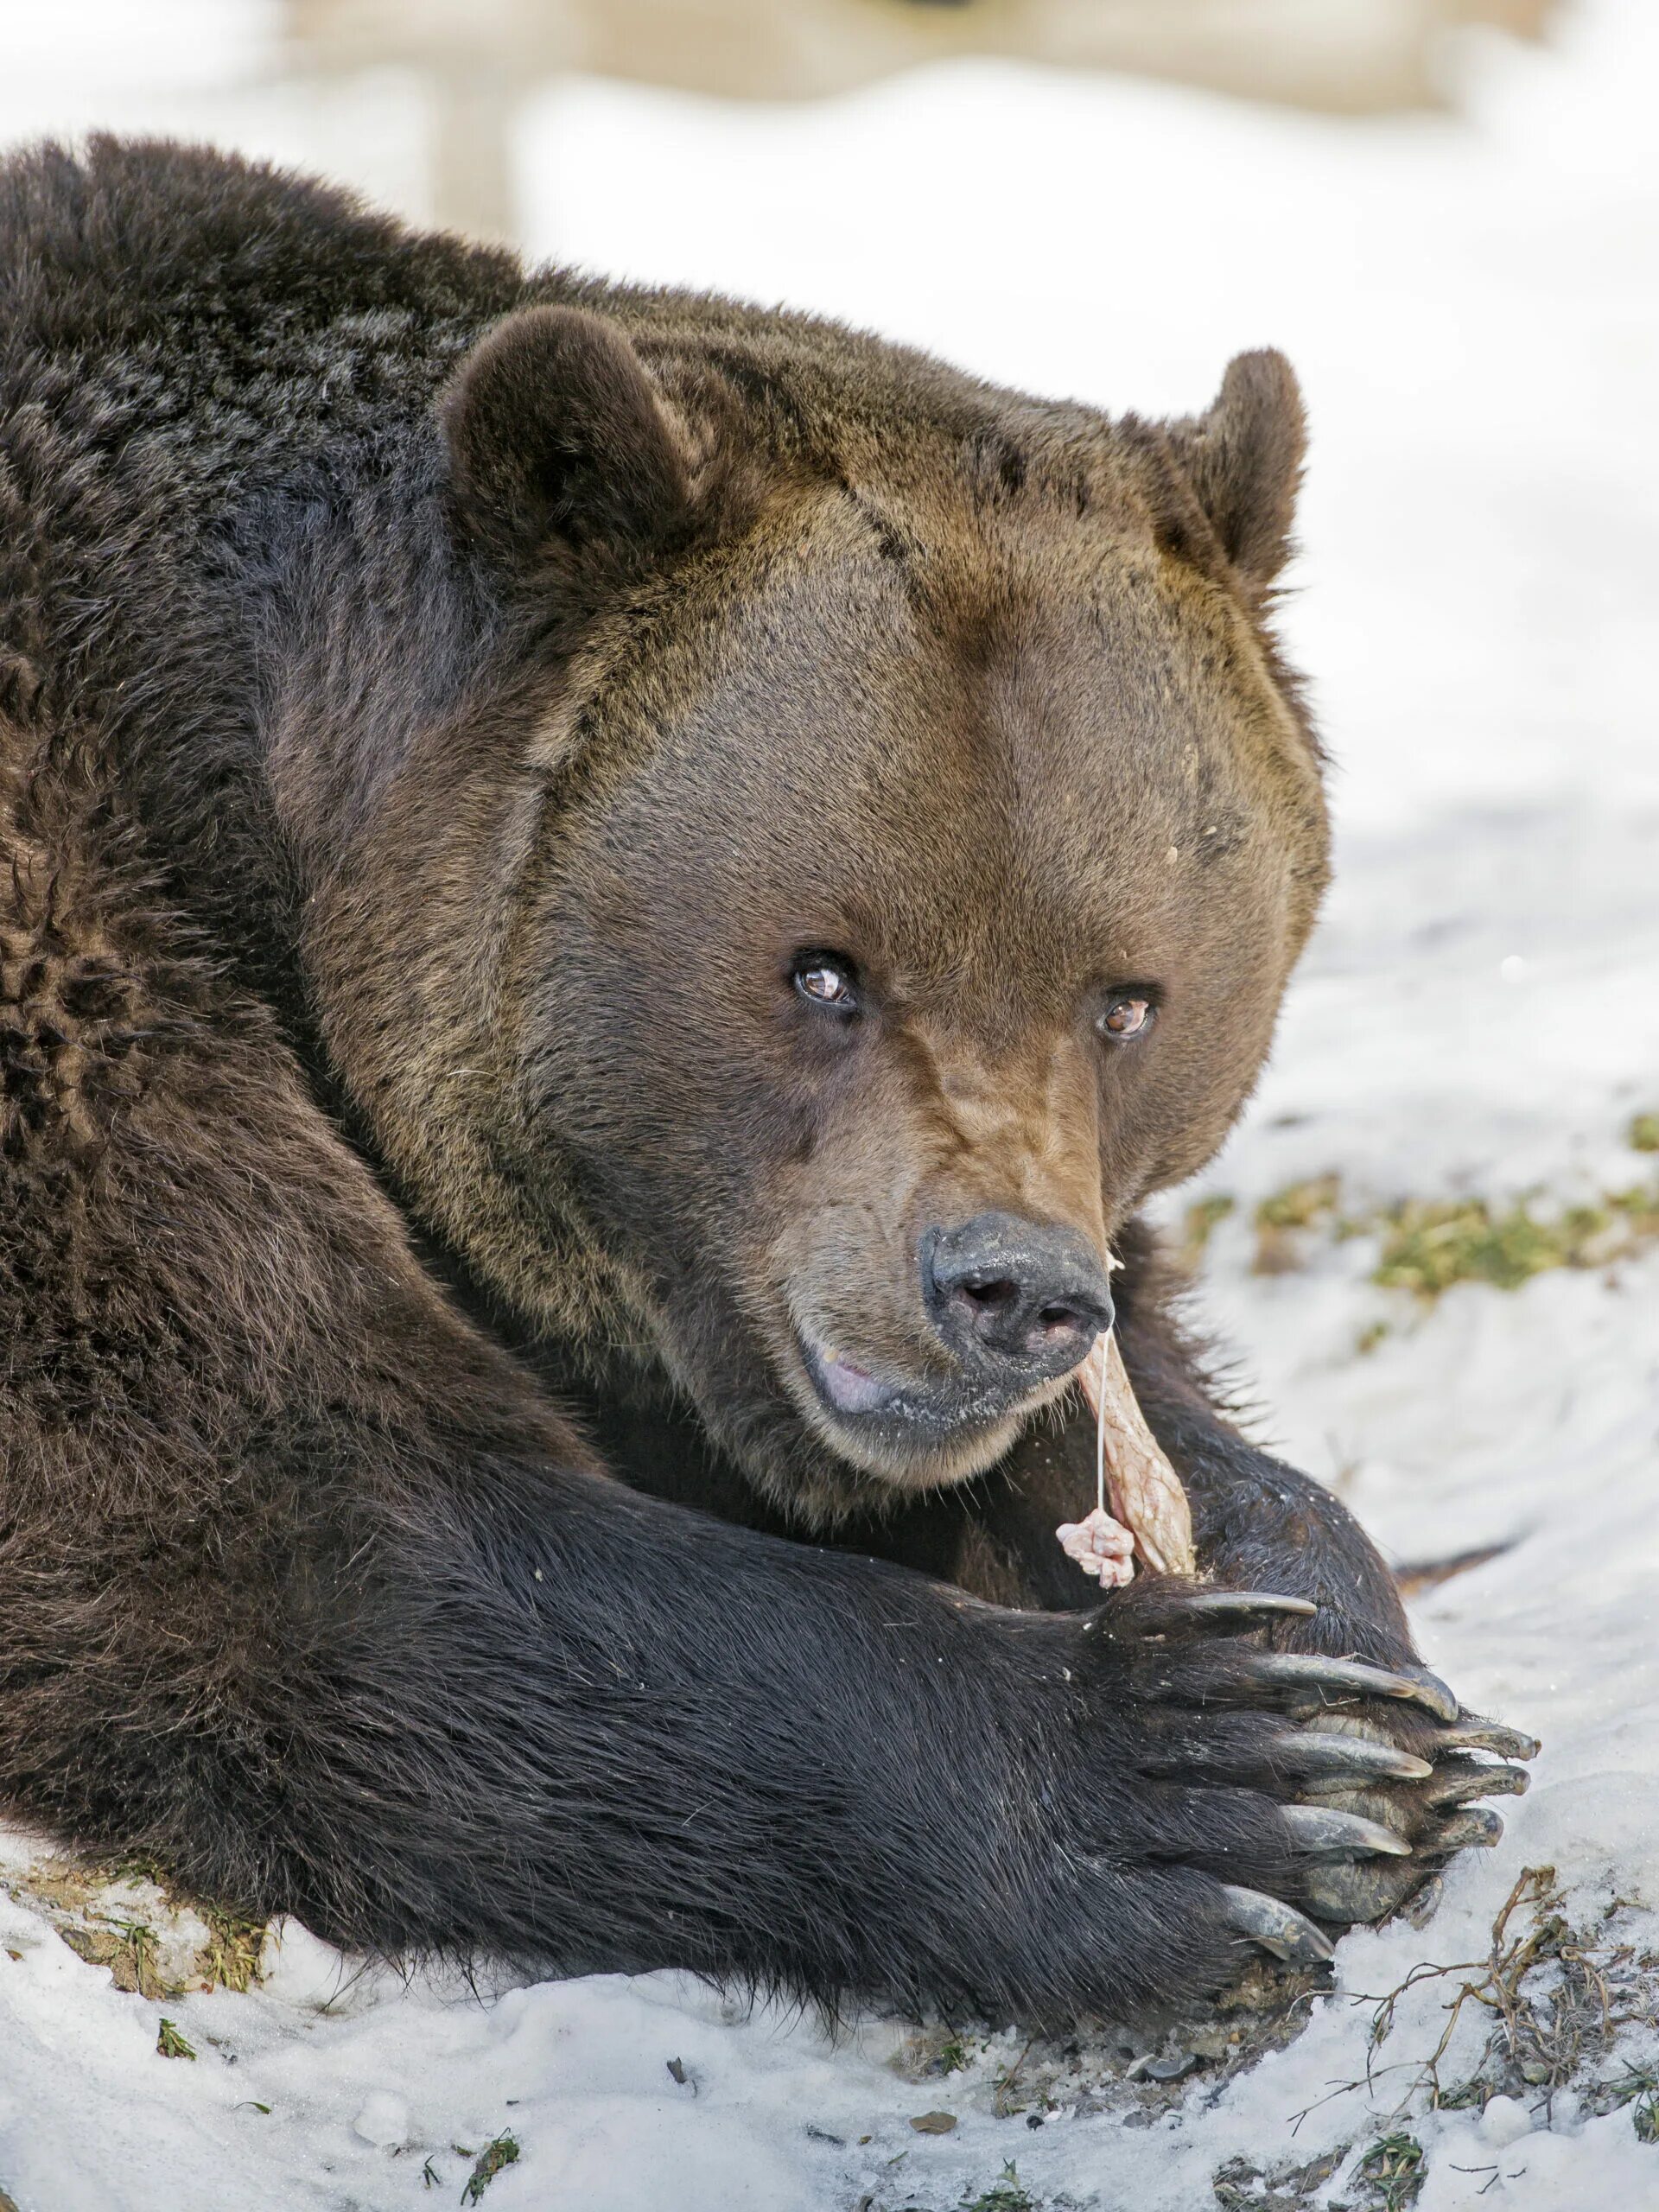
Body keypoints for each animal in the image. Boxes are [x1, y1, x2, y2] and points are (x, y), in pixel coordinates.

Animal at [0, 138, 1530, 2025]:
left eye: (1126, 997)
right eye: (823, 969)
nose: (1001, 1290)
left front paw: (1351, 1672)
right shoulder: (75, 971)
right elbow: (287, 1511)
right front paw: (1197, 1774)